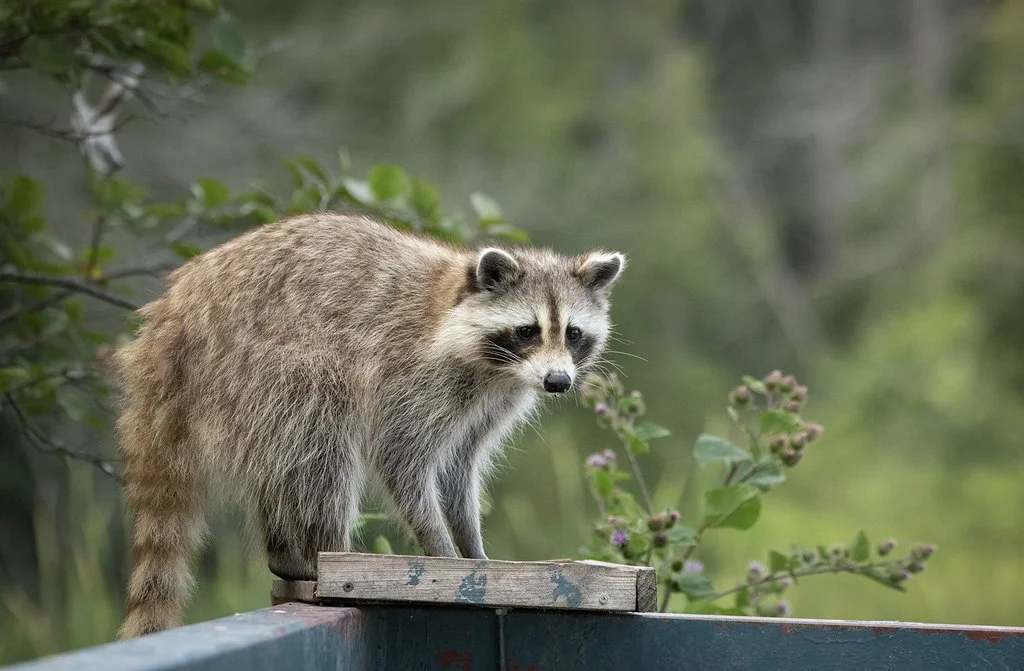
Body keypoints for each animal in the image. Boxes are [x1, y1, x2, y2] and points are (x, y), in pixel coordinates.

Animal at [113, 212, 625, 639]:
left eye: (573, 333)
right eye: (528, 331)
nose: (558, 382)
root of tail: (170, 325)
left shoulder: (488, 401)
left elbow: (458, 468)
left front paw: (473, 549)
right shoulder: (411, 372)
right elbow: (401, 457)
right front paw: (441, 549)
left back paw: (286, 551)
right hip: (265, 364)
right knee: (321, 438)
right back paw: (327, 553)